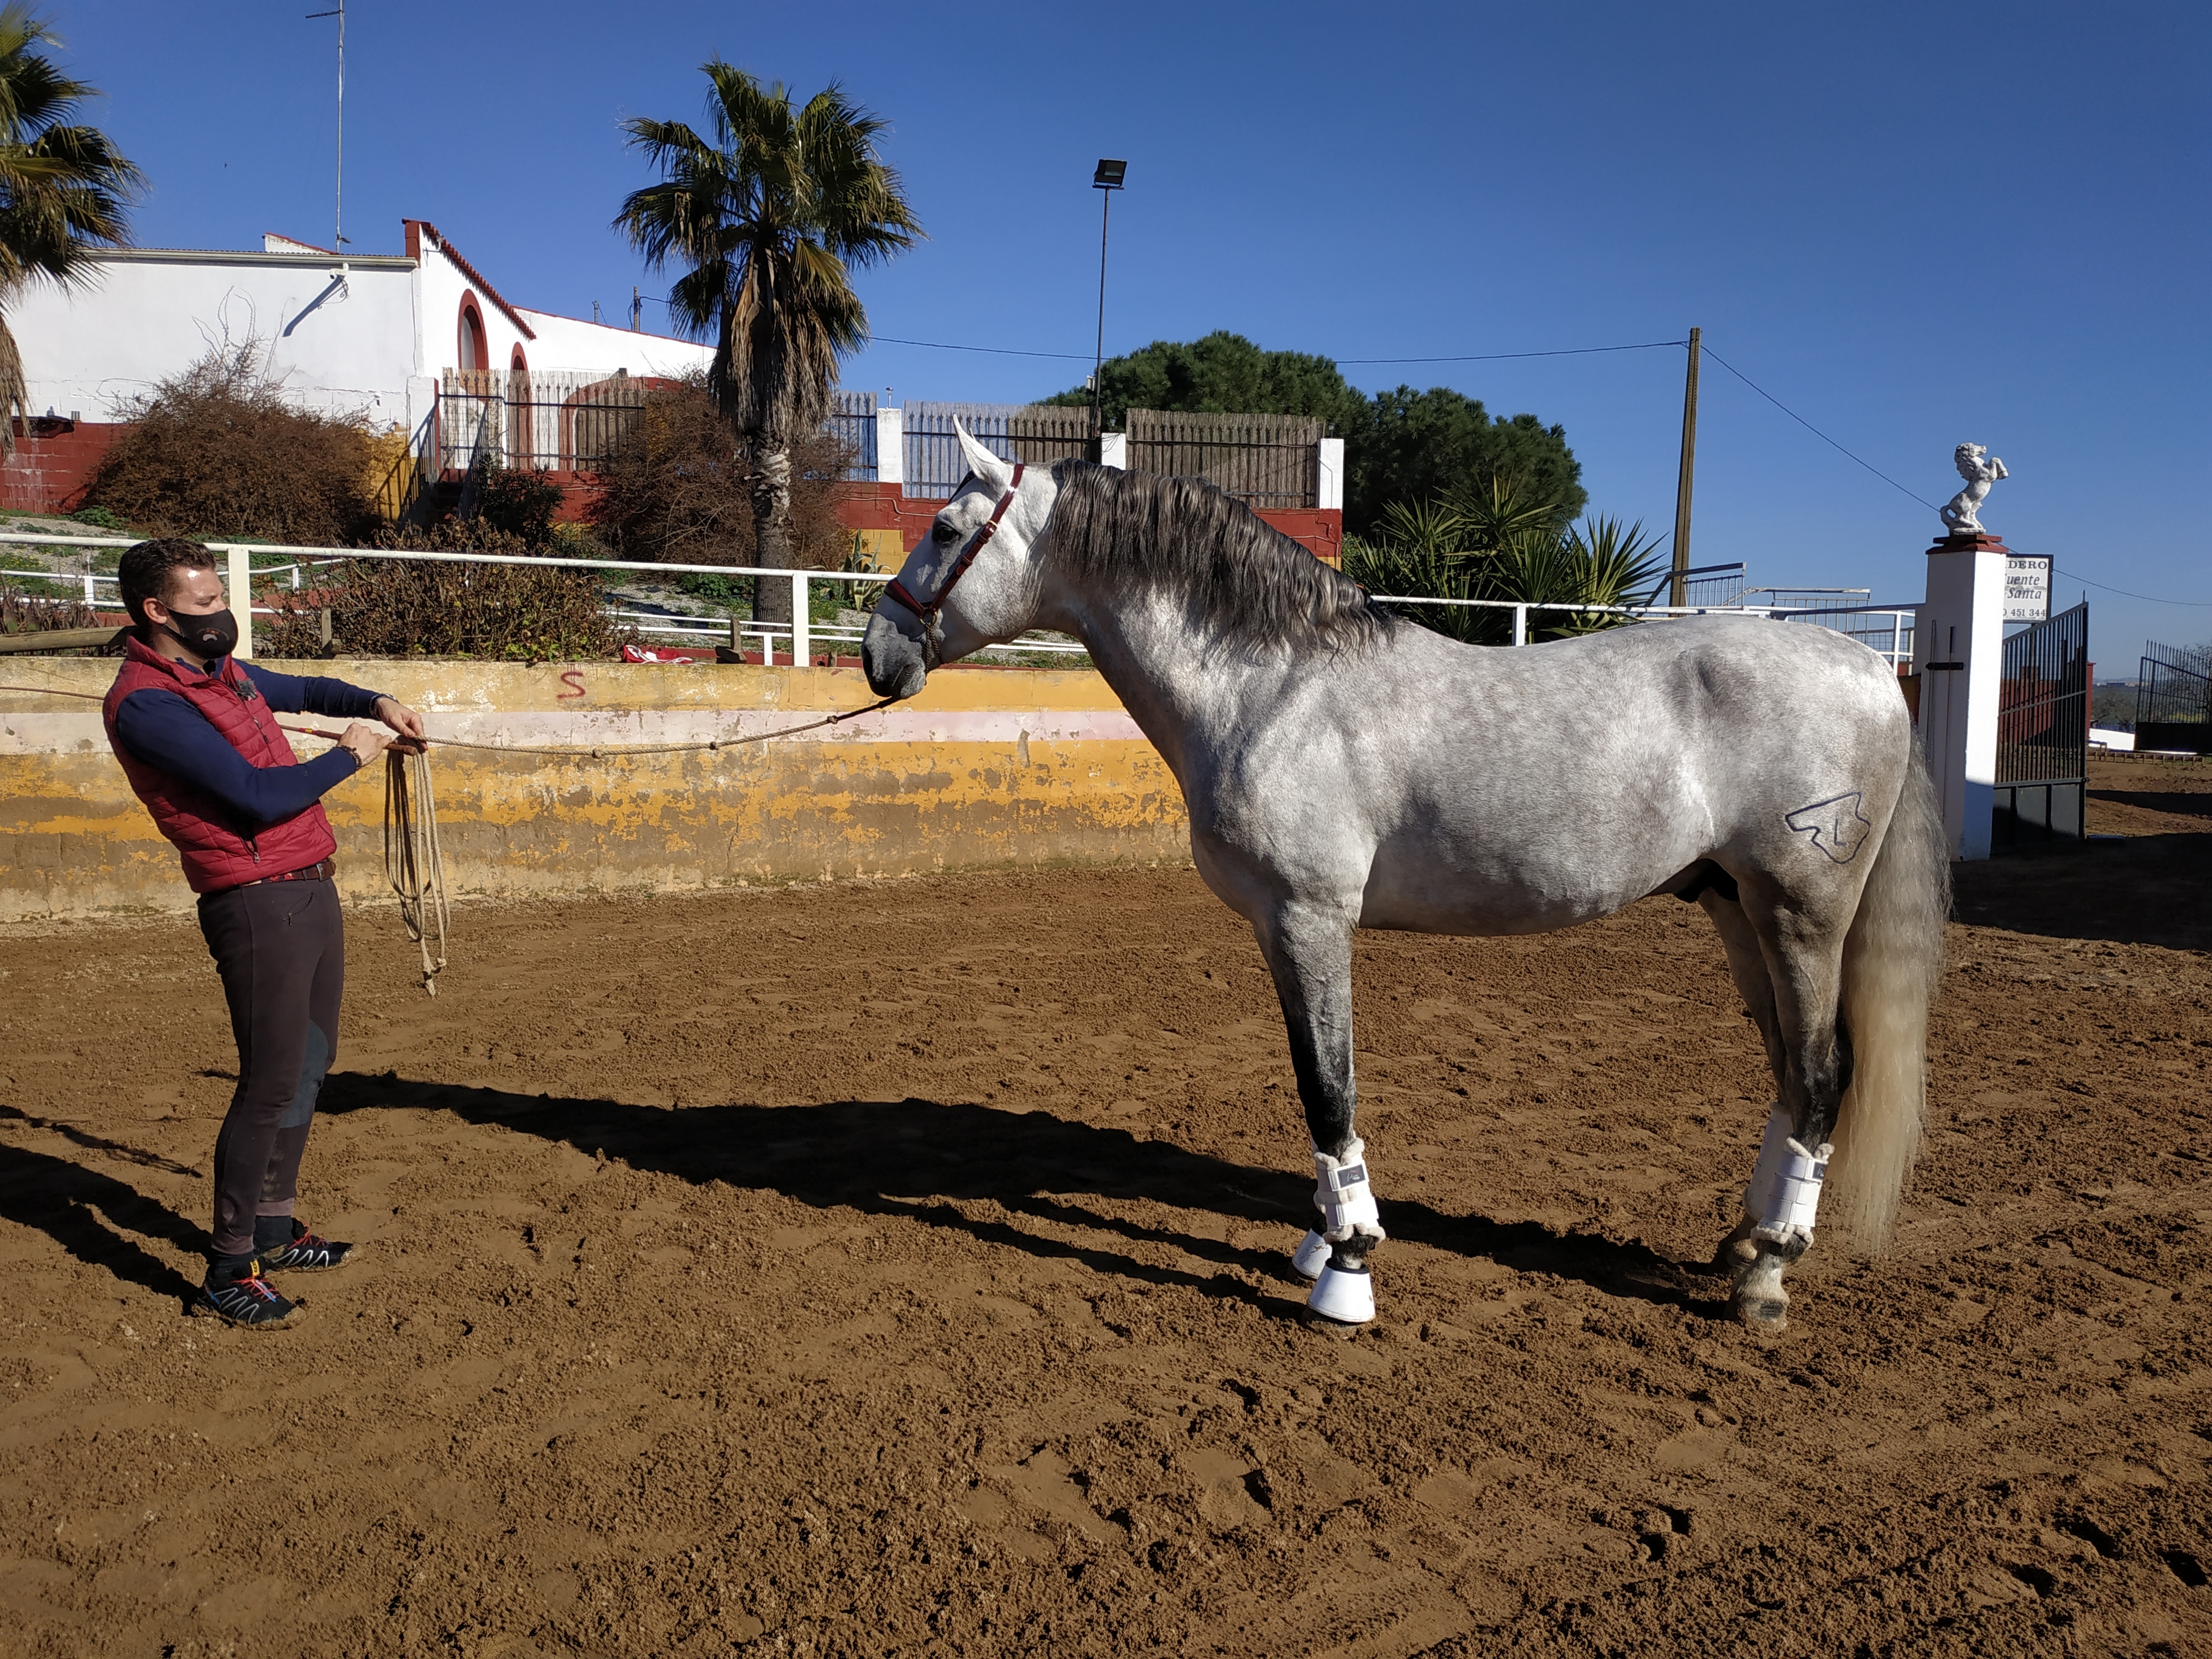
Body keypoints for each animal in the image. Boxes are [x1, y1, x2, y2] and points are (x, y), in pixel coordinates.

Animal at [863, 429, 1955, 1336]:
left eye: (947, 529)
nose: (880, 655)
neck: (1276, 686)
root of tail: (1870, 667)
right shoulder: (1277, 928)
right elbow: (1315, 1082)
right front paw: (1321, 1237)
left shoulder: (1307, 917)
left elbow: (1327, 1086)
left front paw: (1346, 1269)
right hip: (1737, 912)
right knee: (1790, 1074)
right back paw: (1743, 1244)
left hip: (1802, 916)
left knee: (1822, 1078)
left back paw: (1768, 1276)